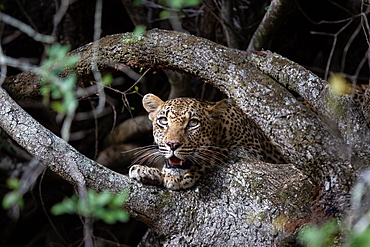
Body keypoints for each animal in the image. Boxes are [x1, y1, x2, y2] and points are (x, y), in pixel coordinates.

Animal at [128, 93, 286, 190]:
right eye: (163, 121)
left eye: (193, 123)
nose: (172, 144)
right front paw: (146, 171)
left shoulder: (250, 152)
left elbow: (212, 153)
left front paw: (181, 176)